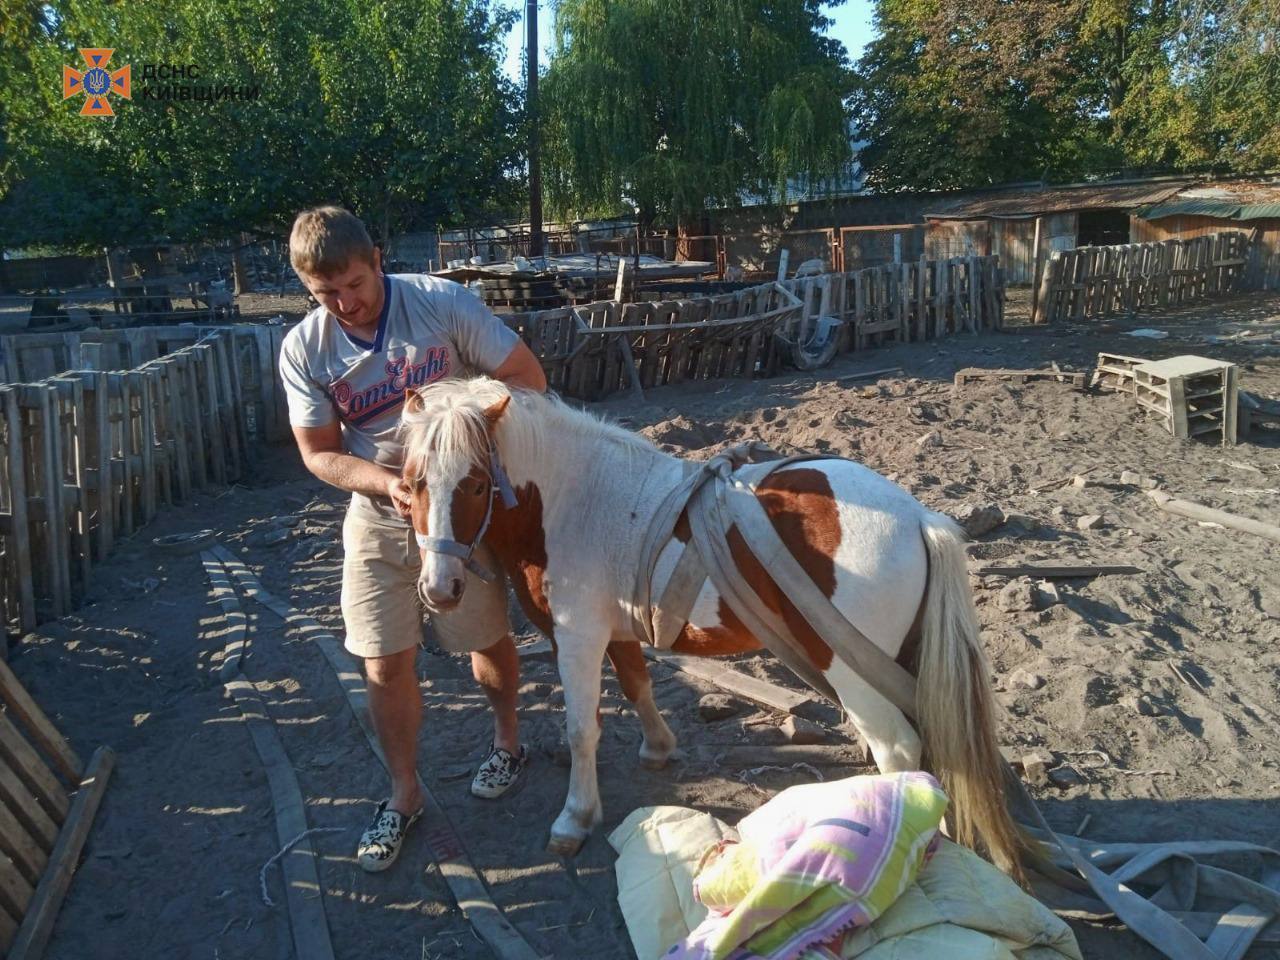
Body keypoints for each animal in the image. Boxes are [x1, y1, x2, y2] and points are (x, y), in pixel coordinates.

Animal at [399, 378, 1018, 875]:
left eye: (477, 483)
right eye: (411, 484)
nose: (439, 588)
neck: (576, 500)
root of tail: (918, 517)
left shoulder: (577, 638)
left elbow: (581, 730)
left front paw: (576, 817)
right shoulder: (618, 633)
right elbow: (638, 687)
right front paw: (658, 748)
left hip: (852, 671)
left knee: (898, 748)